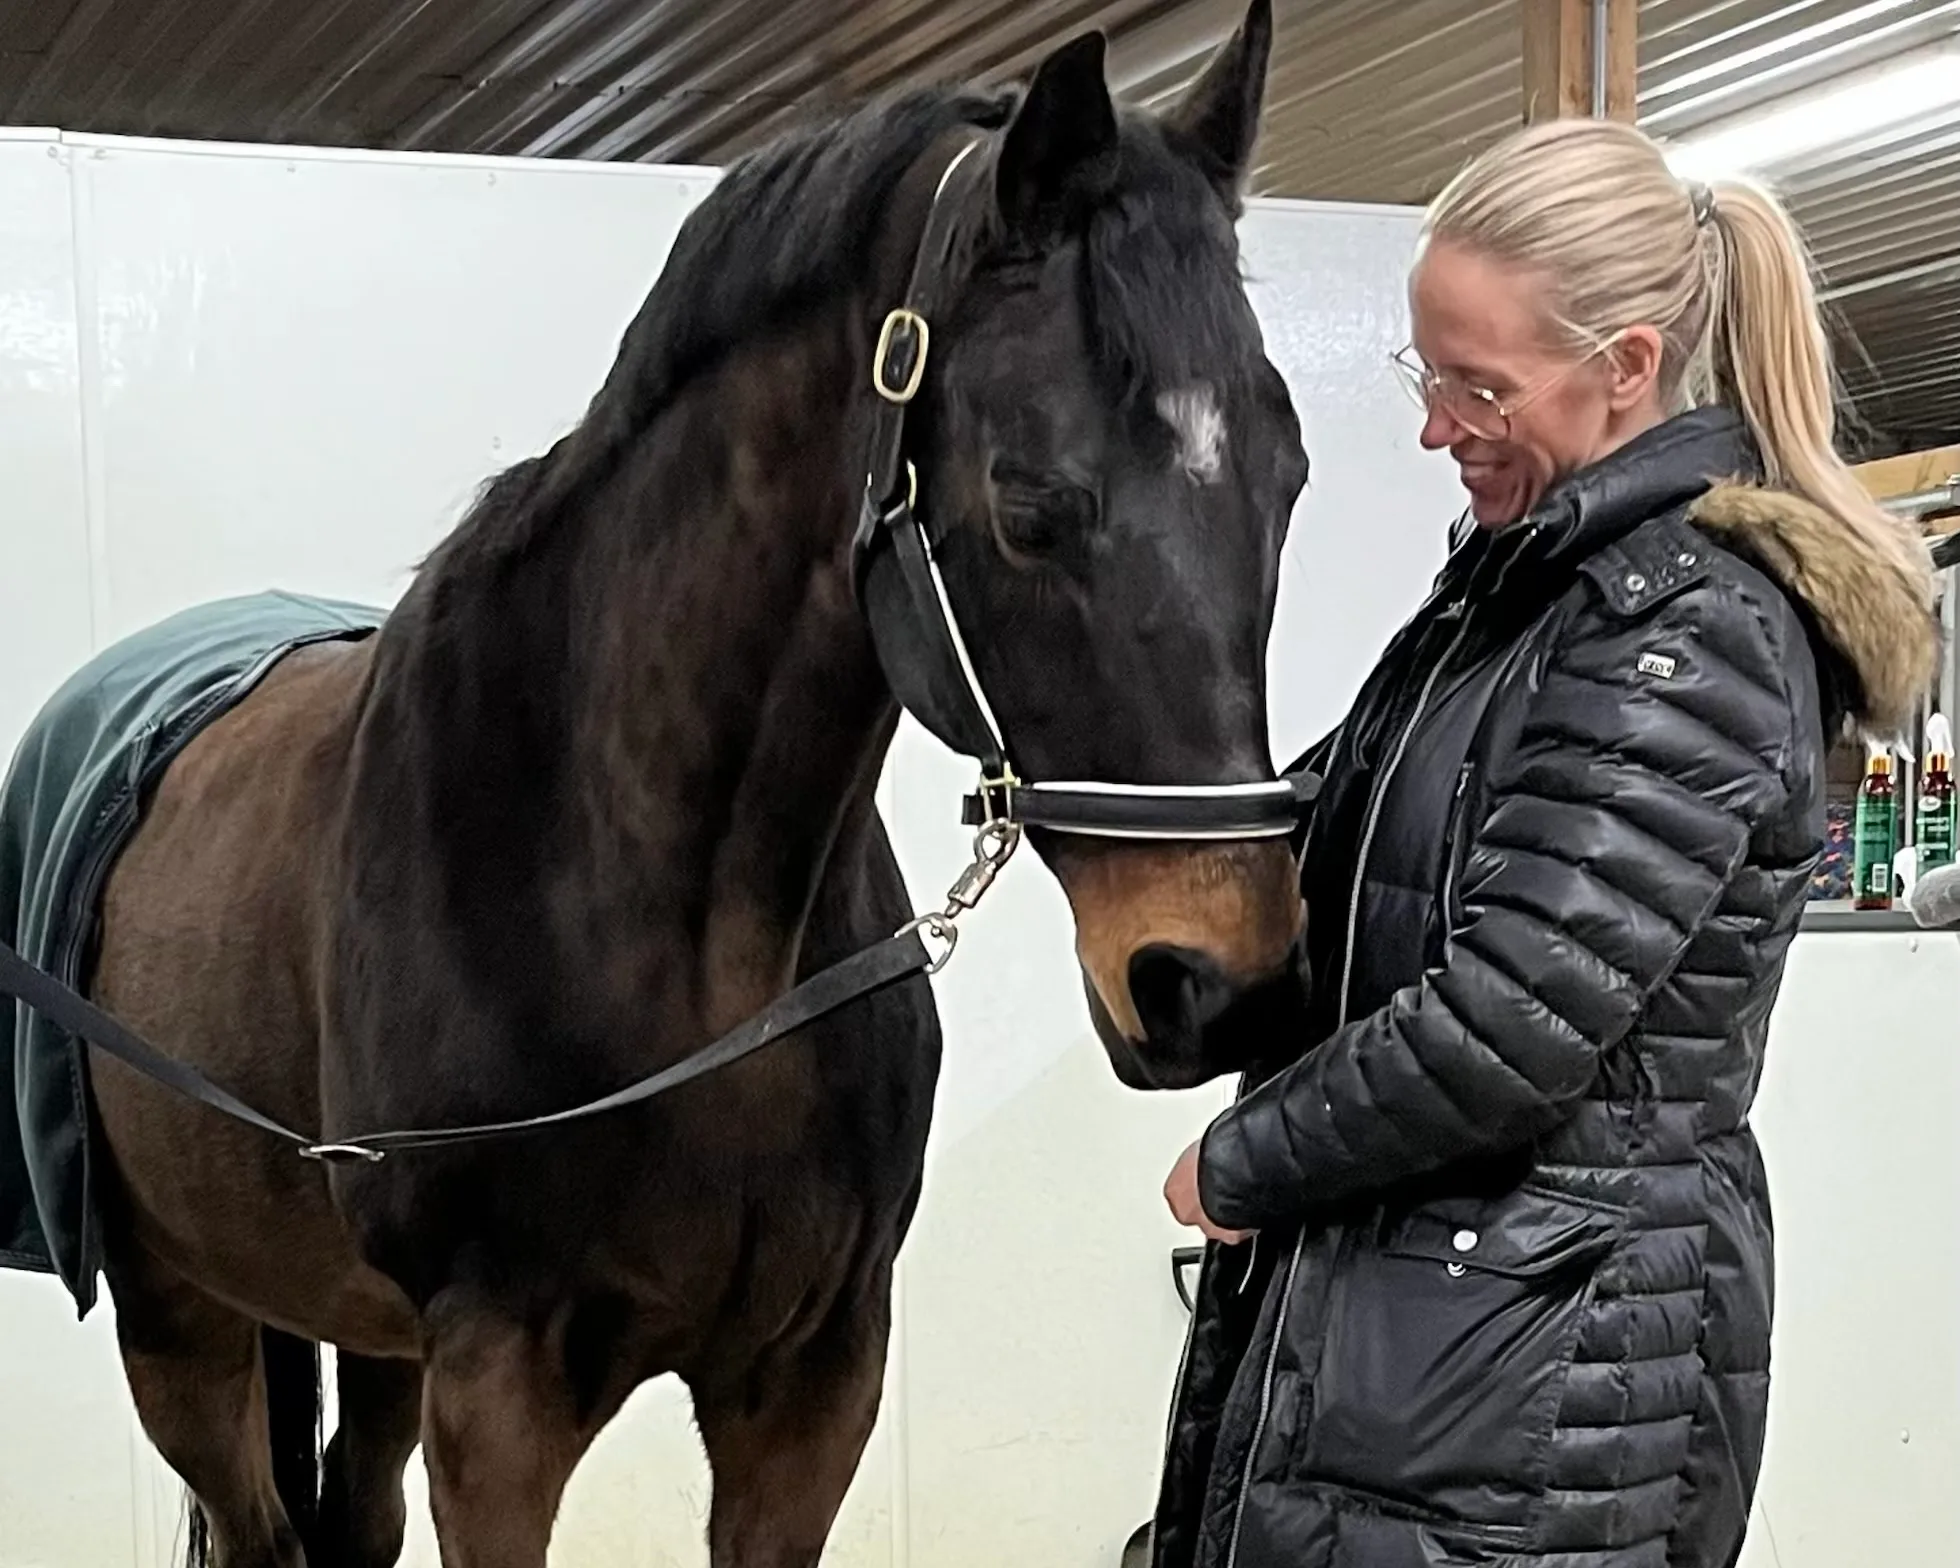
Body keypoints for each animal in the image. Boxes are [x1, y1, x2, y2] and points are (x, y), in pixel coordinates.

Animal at [8, 4, 1311, 1563]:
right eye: (1030, 500)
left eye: (1289, 478)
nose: (1214, 979)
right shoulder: (498, 1397)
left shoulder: (812, 1382)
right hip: (179, 1314)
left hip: (365, 1344)